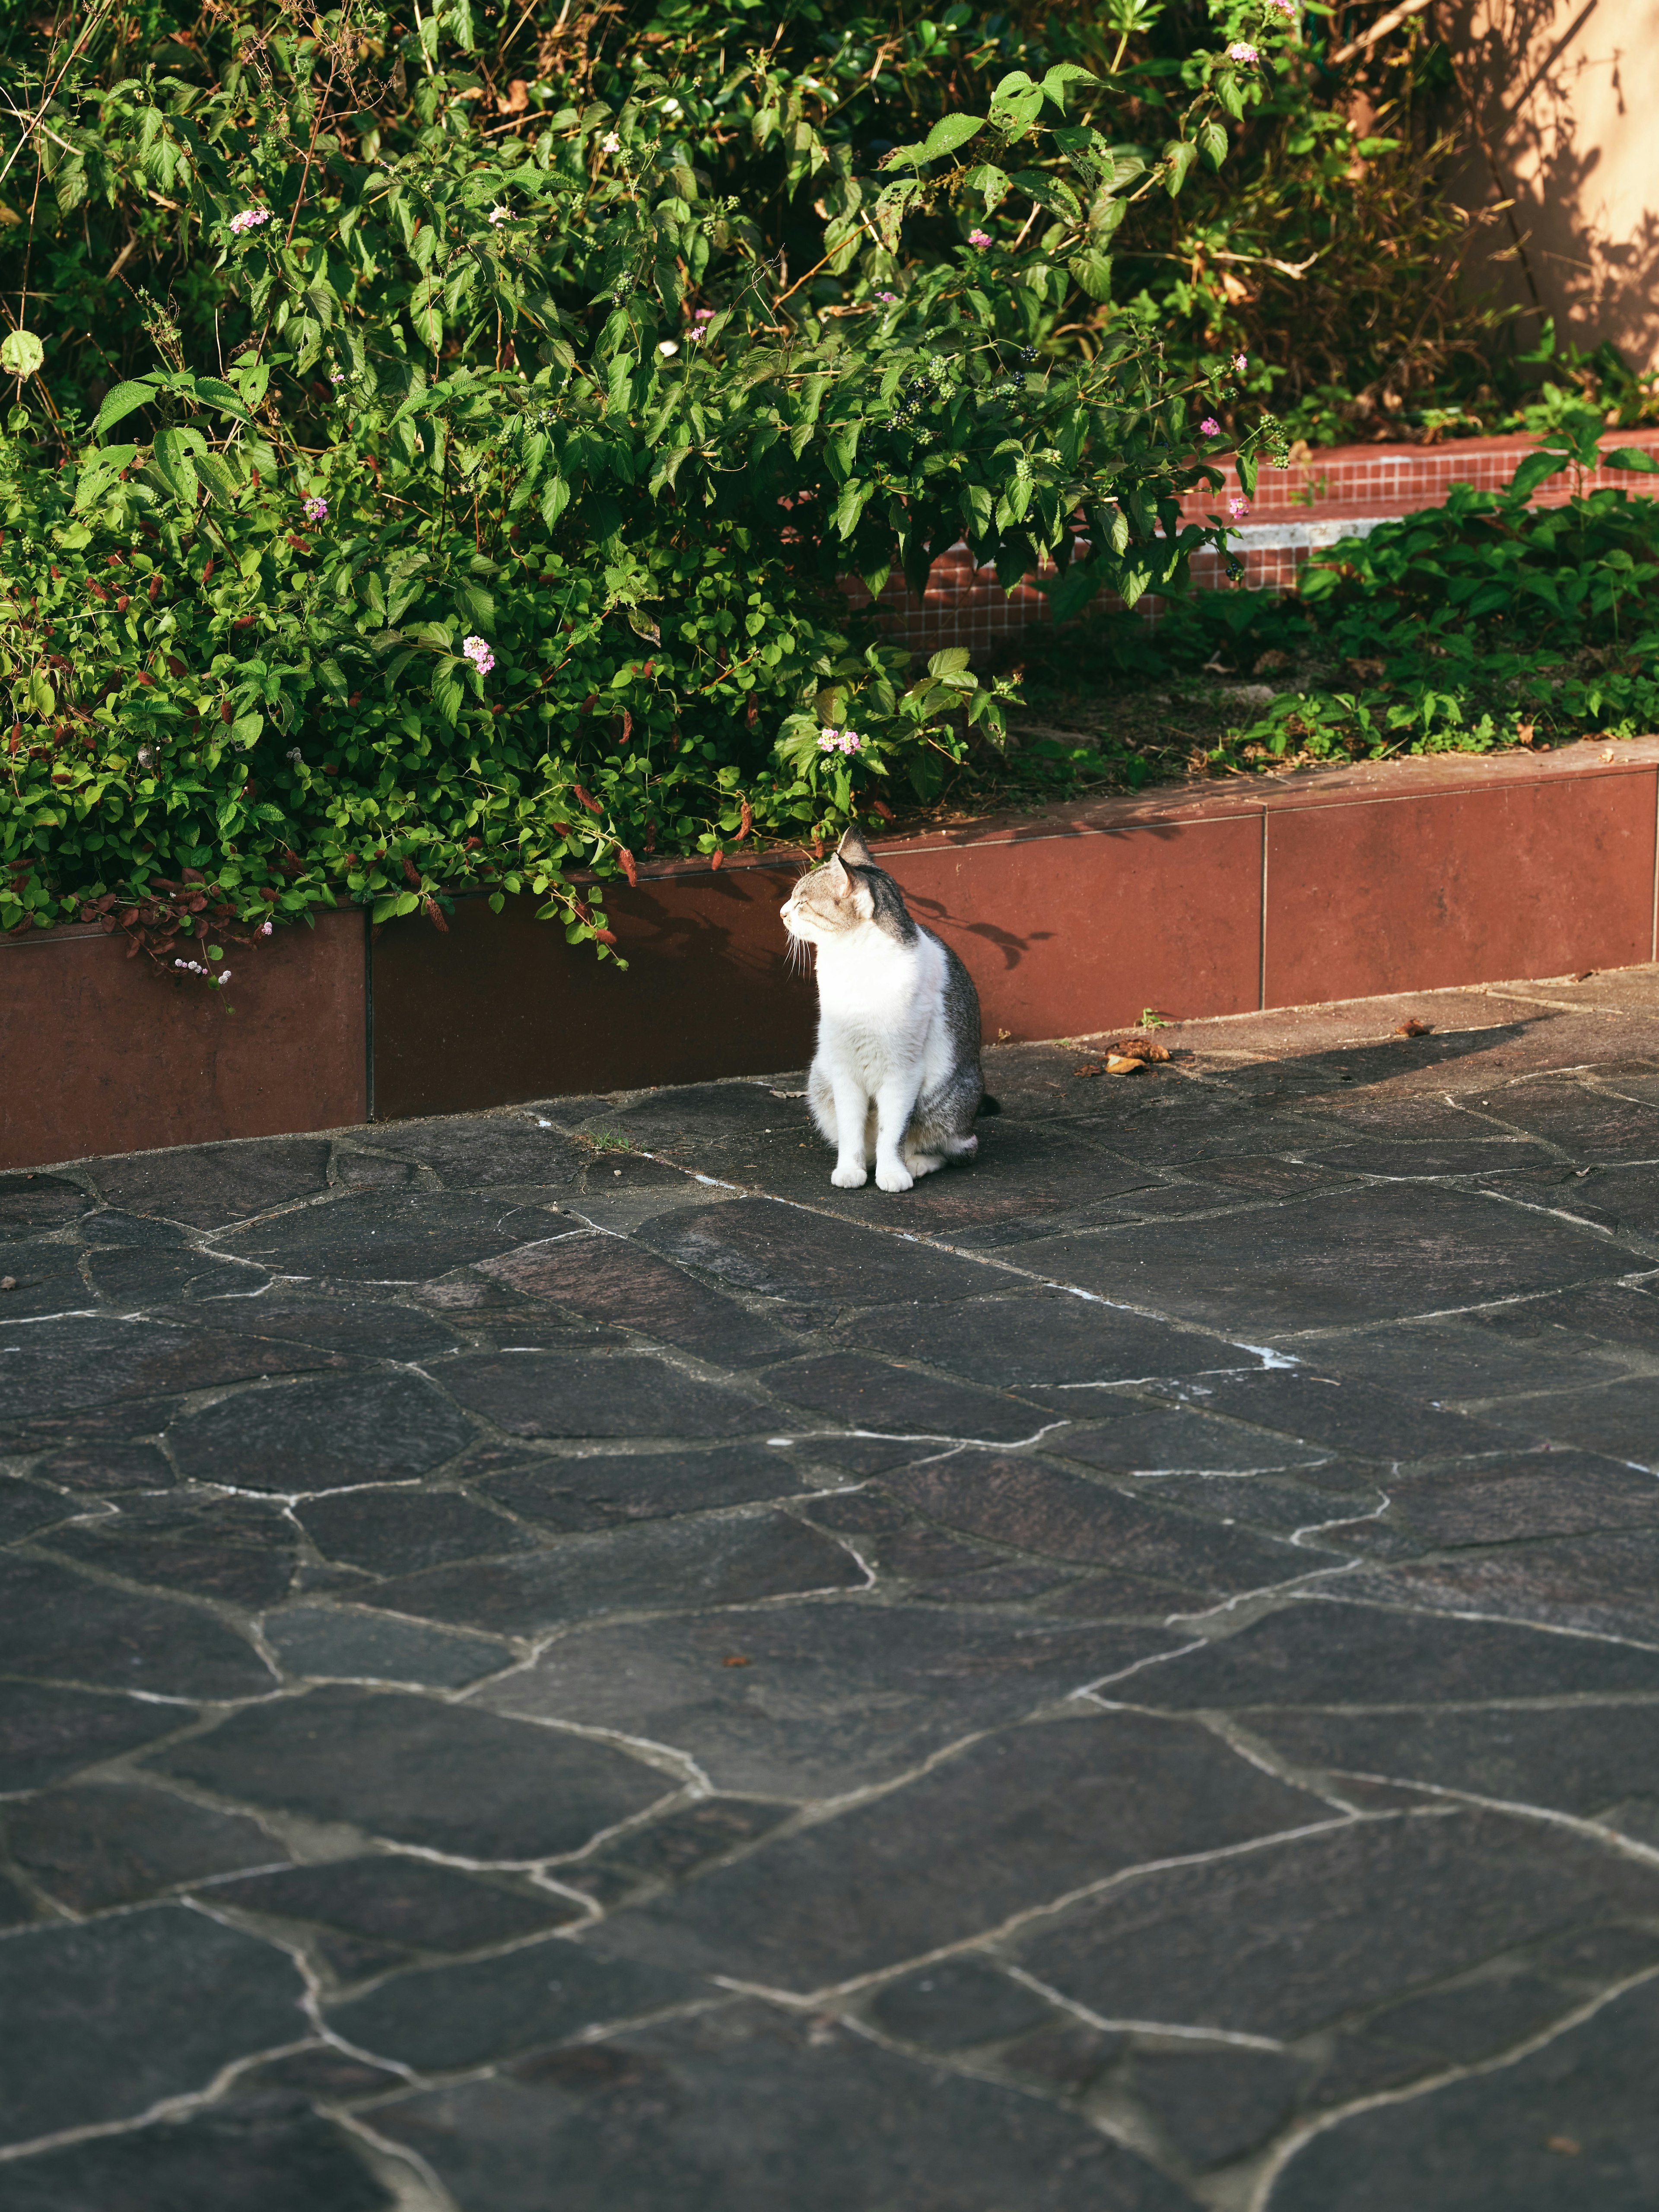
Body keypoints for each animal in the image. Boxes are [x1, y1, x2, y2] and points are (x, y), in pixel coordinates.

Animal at [783, 827, 1000, 1194]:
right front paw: (850, 1169)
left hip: (948, 1102)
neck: (854, 963)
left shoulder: (904, 1070)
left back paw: (917, 1164)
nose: (782, 912)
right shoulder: (843, 1068)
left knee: (955, 1148)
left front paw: (893, 1173)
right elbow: (851, 1130)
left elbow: (893, 1133)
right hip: (820, 1080)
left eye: (802, 903)